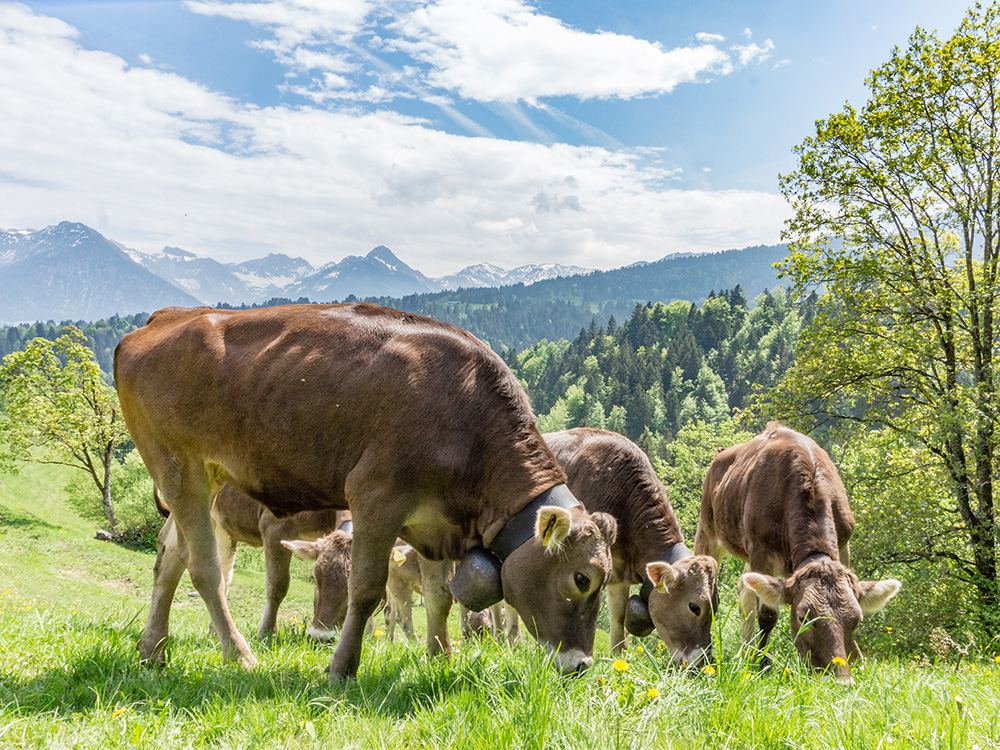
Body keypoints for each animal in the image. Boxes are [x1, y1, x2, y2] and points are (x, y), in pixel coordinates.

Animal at [117, 302, 616, 680]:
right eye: (583, 579)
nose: (581, 665)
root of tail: (167, 317)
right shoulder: (377, 497)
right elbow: (367, 589)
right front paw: (341, 668)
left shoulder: (434, 521)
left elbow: (440, 595)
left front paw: (440, 656)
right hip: (178, 467)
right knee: (203, 568)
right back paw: (240, 656)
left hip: (204, 477)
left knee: (169, 558)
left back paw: (152, 651)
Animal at [548, 428, 720, 664]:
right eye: (695, 607)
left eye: (716, 608)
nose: (703, 662)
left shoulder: (619, 572)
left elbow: (619, 614)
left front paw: (619, 656)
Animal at [696, 426, 900, 684]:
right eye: (804, 617)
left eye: (857, 620)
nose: (839, 680)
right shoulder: (760, 550)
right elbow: (768, 614)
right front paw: (763, 666)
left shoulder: (844, 544)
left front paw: (858, 659)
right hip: (708, 529)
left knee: (744, 589)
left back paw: (746, 653)